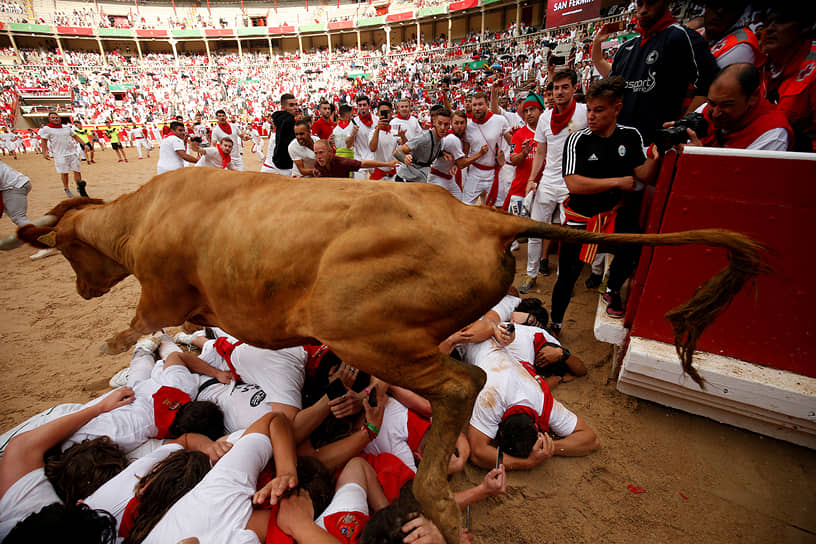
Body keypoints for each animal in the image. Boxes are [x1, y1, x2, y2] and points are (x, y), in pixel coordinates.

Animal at [9, 169, 768, 540]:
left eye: (71, 249)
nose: (81, 287)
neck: (145, 216)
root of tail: (483, 216)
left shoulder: (161, 296)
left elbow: (140, 329)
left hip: (361, 326)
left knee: (460, 383)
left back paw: (437, 501)